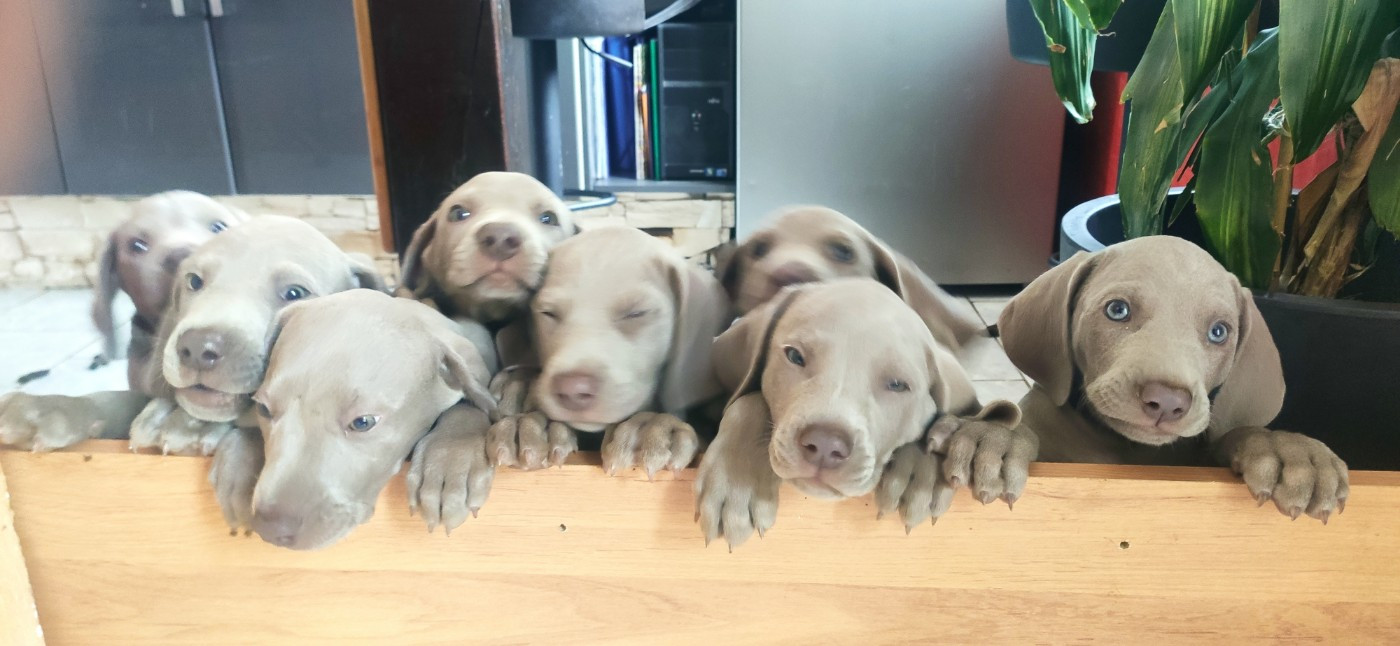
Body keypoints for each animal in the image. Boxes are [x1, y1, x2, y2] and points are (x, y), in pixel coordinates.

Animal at [696, 278, 1026, 548]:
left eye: (897, 385)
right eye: (794, 356)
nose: (825, 445)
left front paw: (920, 471)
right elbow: (747, 400)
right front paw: (736, 484)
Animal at [997, 236, 1348, 522]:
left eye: (1219, 332)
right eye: (1117, 310)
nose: (1167, 402)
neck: (1129, 449)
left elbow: (1232, 438)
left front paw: (1288, 451)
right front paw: (1001, 439)